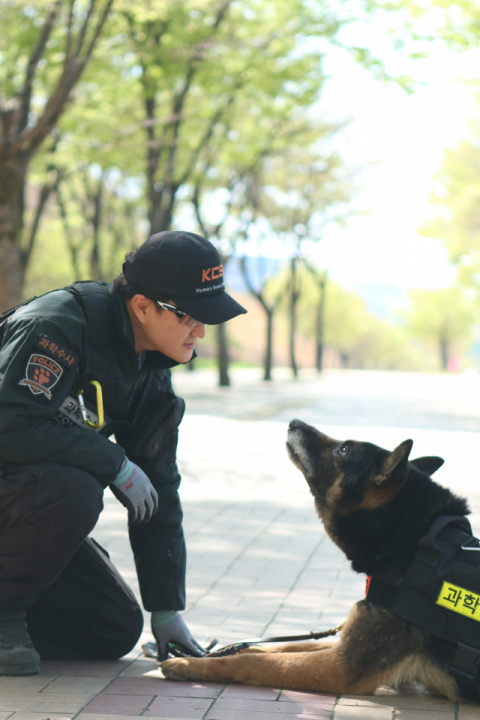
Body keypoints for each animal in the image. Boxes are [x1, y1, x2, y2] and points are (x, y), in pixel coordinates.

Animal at [161, 420, 472, 700]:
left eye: (343, 449)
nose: (293, 422)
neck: (406, 537)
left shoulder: (342, 667)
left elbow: (258, 661)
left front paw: (191, 663)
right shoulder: (341, 647)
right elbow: (284, 648)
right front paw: (231, 649)